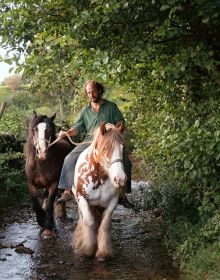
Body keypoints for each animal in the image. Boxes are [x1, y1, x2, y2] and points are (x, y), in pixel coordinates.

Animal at [72, 122, 126, 260]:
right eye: (106, 148)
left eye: (123, 148)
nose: (120, 179)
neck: (99, 176)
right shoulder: (82, 198)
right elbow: (89, 221)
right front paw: (87, 249)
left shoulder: (113, 201)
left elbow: (105, 224)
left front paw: (103, 252)